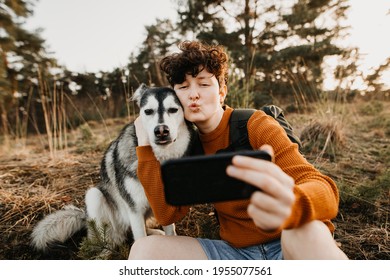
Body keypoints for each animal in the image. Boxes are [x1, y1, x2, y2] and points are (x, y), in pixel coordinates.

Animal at [30, 84, 197, 253]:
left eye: (173, 109)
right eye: (148, 111)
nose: (161, 130)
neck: (157, 159)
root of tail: (84, 217)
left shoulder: (165, 207)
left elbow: (170, 231)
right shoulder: (134, 210)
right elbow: (139, 237)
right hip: (95, 197)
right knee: (110, 237)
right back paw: (106, 251)